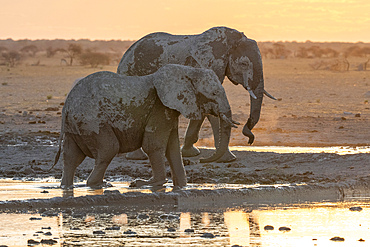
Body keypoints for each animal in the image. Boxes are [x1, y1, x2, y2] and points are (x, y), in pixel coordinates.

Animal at [52, 64, 238, 188]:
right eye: (214, 93)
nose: (202, 159)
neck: (188, 71)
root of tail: (67, 104)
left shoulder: (169, 110)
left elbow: (172, 147)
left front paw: (182, 186)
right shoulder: (159, 107)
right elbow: (153, 145)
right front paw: (151, 183)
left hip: (75, 124)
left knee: (71, 156)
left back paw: (66, 187)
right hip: (91, 121)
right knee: (109, 148)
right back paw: (99, 185)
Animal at [118, 26, 274, 162]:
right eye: (243, 64)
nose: (250, 139)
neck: (228, 41)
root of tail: (126, 53)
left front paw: (191, 154)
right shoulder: (200, 66)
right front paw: (226, 159)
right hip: (130, 73)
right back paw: (137, 157)